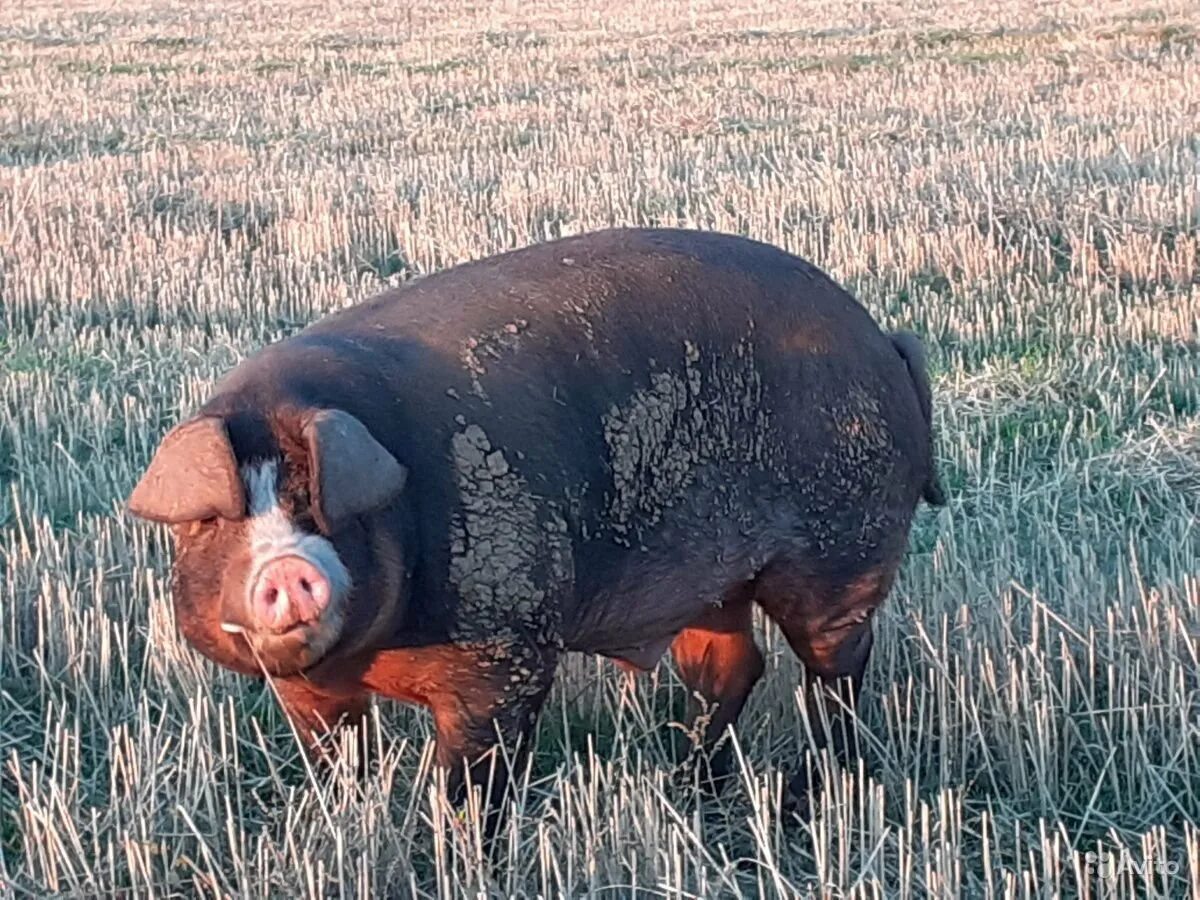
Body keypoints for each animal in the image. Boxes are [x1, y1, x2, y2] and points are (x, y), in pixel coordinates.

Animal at [126, 229, 940, 835]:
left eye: (319, 505)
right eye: (213, 520)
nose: (288, 565)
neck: (370, 657)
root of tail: (883, 340)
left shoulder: (506, 654)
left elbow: (473, 784)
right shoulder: (306, 692)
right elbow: (337, 766)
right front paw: (344, 826)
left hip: (841, 550)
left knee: (834, 668)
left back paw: (805, 797)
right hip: (713, 586)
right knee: (732, 669)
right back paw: (683, 785)